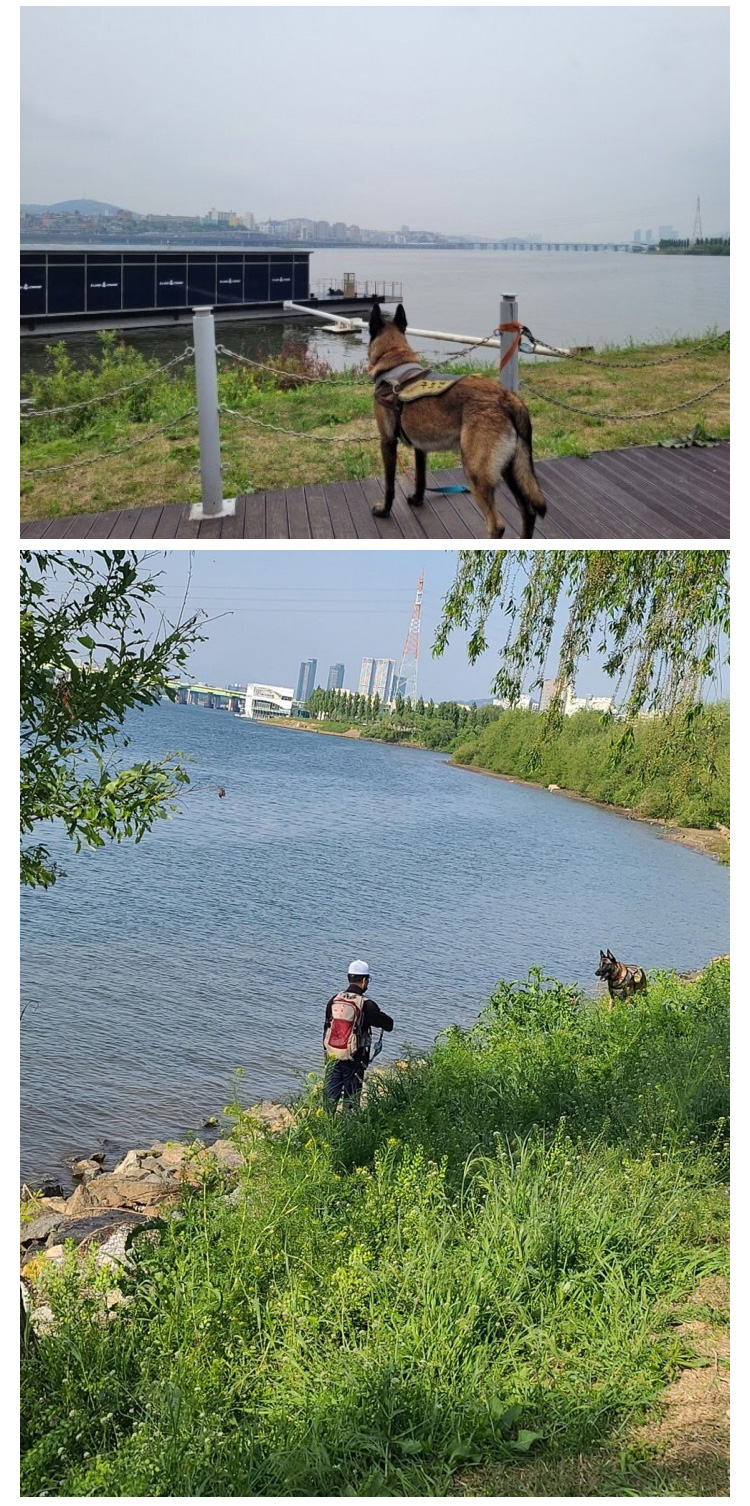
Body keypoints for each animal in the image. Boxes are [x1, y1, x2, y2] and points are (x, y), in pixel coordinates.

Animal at [367, 302, 545, 539]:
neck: (394, 359)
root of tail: (507, 398)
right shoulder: (420, 447)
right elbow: (421, 477)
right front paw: (417, 499)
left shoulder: (387, 441)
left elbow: (389, 484)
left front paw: (384, 509)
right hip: (511, 469)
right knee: (528, 511)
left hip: (476, 473)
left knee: (496, 525)